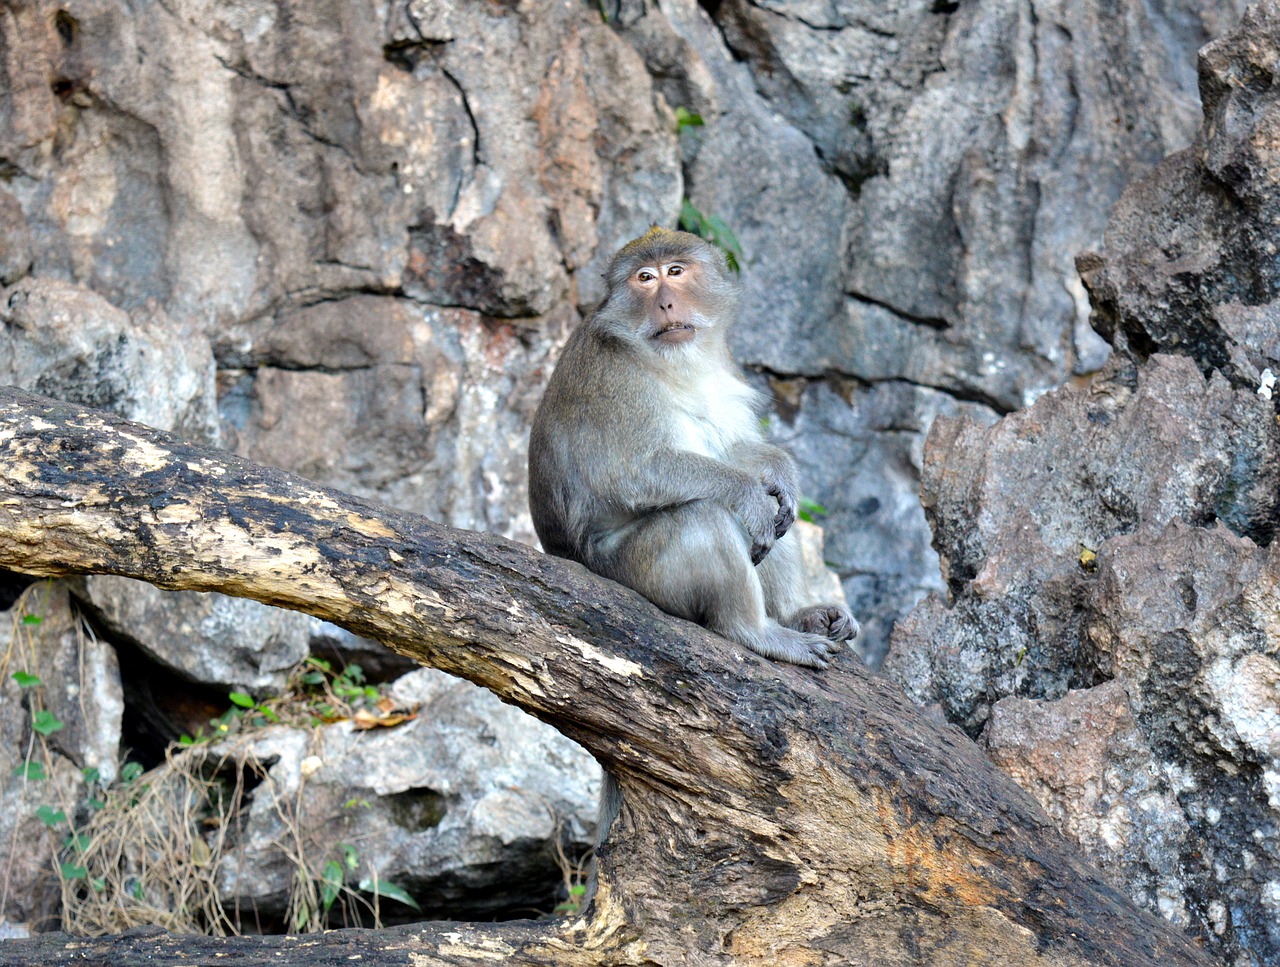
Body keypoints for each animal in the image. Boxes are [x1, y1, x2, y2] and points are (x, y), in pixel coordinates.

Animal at [529, 225, 860, 671]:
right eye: (645, 278)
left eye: (675, 271)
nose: (666, 302)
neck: (670, 360)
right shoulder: (615, 381)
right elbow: (632, 473)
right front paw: (747, 493)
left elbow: (731, 449)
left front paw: (780, 471)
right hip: (630, 571)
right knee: (703, 516)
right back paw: (757, 632)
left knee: (771, 519)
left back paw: (799, 613)